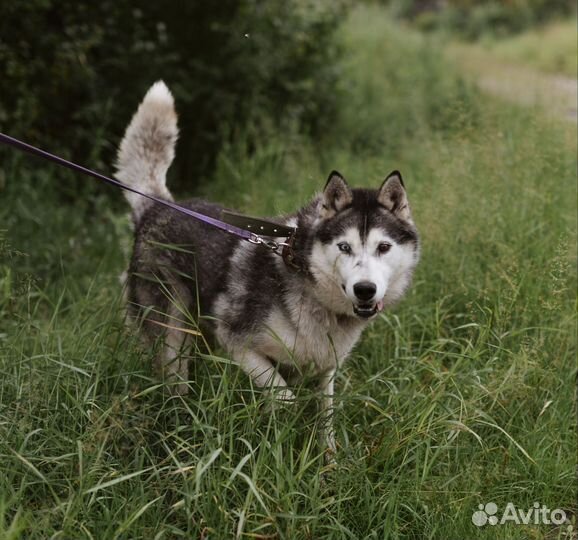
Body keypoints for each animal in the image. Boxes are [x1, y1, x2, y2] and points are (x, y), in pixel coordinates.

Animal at [116, 80, 418, 452]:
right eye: (344, 247)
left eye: (383, 247)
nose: (364, 290)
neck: (312, 293)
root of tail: (157, 207)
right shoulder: (237, 341)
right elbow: (285, 397)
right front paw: (283, 433)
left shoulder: (326, 367)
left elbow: (326, 418)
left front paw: (328, 458)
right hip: (172, 334)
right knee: (174, 379)